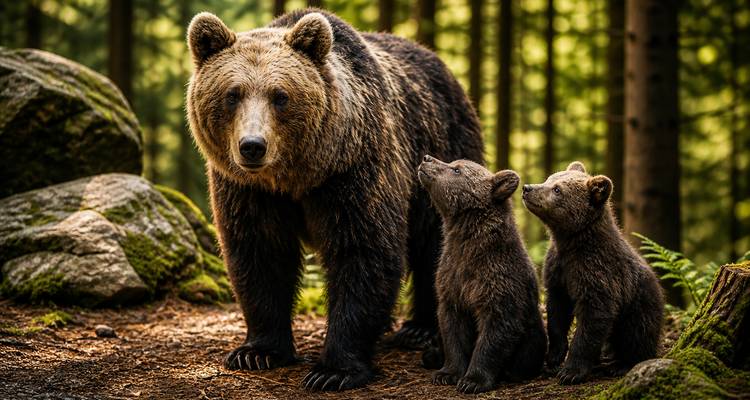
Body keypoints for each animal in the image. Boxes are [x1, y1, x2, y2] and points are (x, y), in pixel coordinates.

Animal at [185, 9, 484, 391]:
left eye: (280, 95)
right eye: (232, 94)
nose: (252, 146)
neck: (296, 177)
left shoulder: (353, 171)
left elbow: (363, 251)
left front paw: (333, 370)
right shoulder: (247, 189)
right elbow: (260, 252)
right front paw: (257, 351)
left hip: (442, 152)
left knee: (435, 243)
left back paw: (420, 330)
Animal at [417, 156, 546, 394]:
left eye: (457, 170)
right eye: (453, 163)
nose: (427, 158)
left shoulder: (498, 279)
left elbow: (497, 328)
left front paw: (472, 380)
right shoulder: (451, 276)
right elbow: (452, 326)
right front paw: (446, 373)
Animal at [521, 161, 664, 384]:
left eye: (557, 190)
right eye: (549, 178)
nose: (527, 188)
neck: (570, 242)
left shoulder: (598, 272)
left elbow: (594, 317)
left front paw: (571, 371)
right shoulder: (557, 270)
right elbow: (557, 312)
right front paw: (554, 358)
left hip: (640, 304)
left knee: (637, 334)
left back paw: (621, 364)